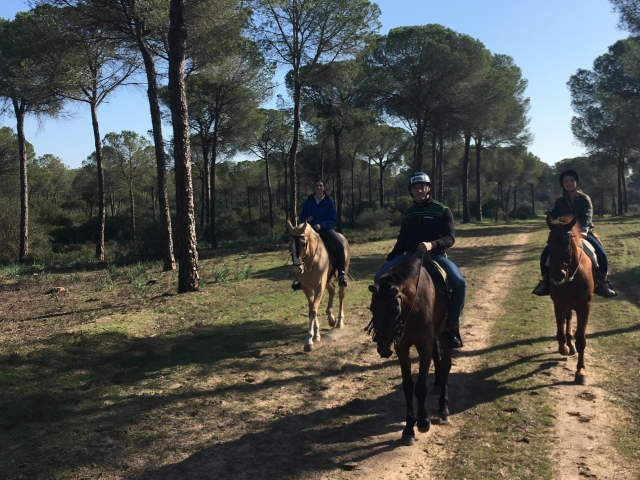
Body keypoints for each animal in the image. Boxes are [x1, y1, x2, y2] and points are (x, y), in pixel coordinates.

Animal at [287, 220, 350, 352]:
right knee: (332, 290)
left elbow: (313, 310)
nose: (297, 269)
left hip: (341, 276)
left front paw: (309, 342)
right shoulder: (307, 287)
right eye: (290, 244)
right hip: (327, 281)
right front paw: (316, 335)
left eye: (303, 244)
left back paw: (339, 322)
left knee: (341, 295)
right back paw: (331, 319)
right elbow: (312, 308)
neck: (311, 261)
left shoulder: (319, 286)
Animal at [367, 255, 452, 446]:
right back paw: (437, 383)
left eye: (395, 310)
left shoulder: (424, 346)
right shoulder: (402, 348)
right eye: (372, 307)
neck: (412, 308)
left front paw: (423, 421)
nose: (383, 348)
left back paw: (443, 407)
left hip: (446, 331)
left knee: (446, 365)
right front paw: (408, 428)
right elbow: (407, 386)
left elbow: (420, 386)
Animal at [546, 214, 595, 385]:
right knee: (568, 319)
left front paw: (580, 371)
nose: (557, 275)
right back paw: (569, 344)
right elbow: (560, 333)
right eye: (549, 243)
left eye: (567, 244)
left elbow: (581, 340)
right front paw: (565, 348)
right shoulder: (559, 305)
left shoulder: (584, 307)